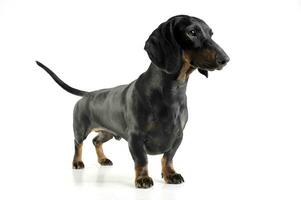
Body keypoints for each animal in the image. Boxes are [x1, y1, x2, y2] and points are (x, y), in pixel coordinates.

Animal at [35, 14, 227, 188]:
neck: (172, 92)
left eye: (211, 33)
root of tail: (88, 94)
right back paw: (77, 162)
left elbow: (168, 157)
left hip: (108, 132)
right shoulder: (135, 137)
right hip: (80, 128)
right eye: (192, 32)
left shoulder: (178, 135)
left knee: (96, 141)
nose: (225, 59)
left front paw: (170, 174)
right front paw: (142, 179)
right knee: (78, 144)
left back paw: (103, 159)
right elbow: (142, 160)